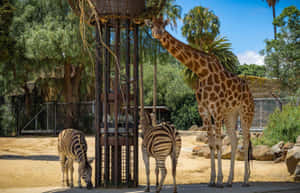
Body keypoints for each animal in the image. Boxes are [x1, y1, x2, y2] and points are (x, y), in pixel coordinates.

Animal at [147, 16, 253, 187]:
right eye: (152, 25)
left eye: (163, 25)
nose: (157, 33)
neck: (202, 71)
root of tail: (250, 92)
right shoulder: (204, 110)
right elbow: (211, 144)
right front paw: (212, 180)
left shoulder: (216, 109)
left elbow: (218, 144)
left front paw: (219, 180)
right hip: (231, 114)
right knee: (235, 140)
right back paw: (231, 180)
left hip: (246, 112)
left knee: (247, 140)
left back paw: (245, 180)